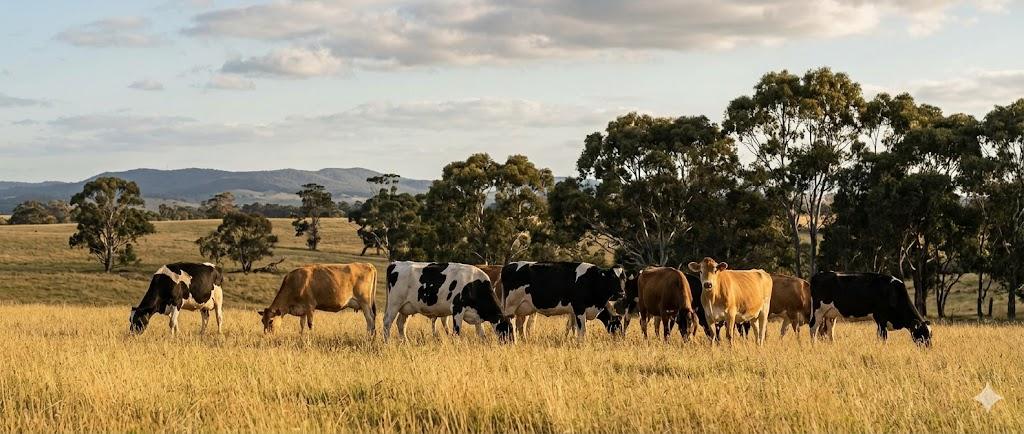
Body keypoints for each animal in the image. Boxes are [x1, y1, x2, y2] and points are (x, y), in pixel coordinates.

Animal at [384, 261, 512, 342]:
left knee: (401, 324)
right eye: (508, 329)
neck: (473, 284)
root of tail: (395, 263)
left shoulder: (476, 316)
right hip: (394, 304)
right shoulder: (457, 309)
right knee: (387, 322)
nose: (512, 344)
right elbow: (457, 331)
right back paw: (387, 343)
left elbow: (482, 335)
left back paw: (405, 342)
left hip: (407, 308)